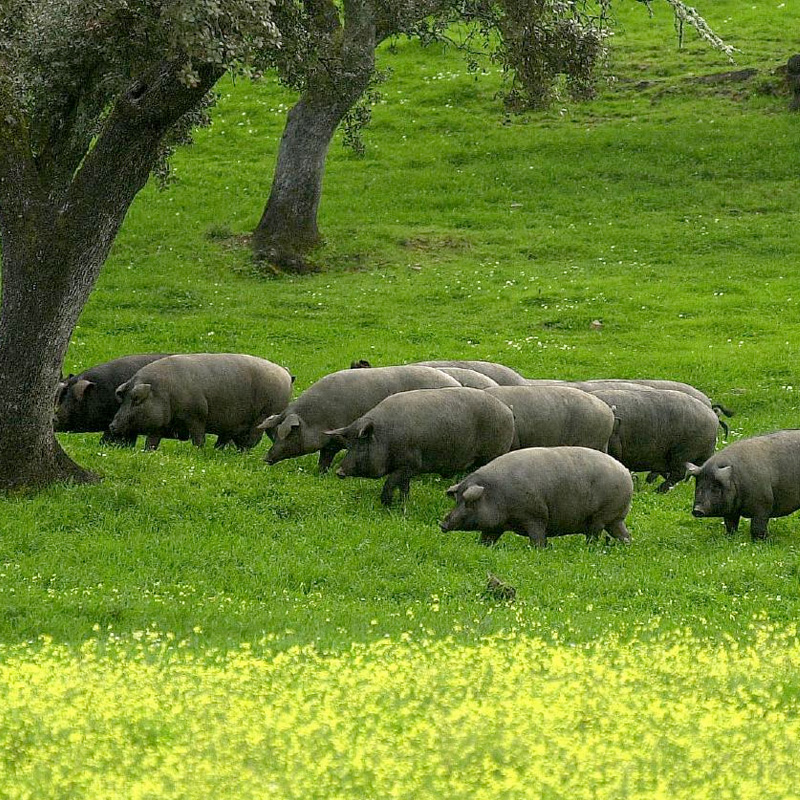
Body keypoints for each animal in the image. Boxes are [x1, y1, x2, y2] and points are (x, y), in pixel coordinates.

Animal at [108, 352, 292, 446]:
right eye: (121, 397)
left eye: (136, 398)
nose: (112, 425)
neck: (164, 392)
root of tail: (285, 374)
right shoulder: (158, 425)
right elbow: (151, 443)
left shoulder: (196, 416)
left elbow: (198, 439)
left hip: (264, 415)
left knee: (252, 440)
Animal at [260, 366, 460, 472]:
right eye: (275, 434)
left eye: (289, 433)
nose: (266, 458)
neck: (318, 419)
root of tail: (455, 382)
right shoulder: (330, 443)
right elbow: (324, 459)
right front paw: (320, 474)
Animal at [328, 388, 516, 506]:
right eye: (349, 445)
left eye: (361, 446)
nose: (339, 472)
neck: (386, 438)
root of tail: (507, 410)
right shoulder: (405, 470)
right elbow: (404, 487)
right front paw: (403, 505)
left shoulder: (410, 464)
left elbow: (390, 483)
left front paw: (386, 504)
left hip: (492, 454)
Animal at [440, 446, 636, 548]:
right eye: (457, 500)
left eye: (468, 502)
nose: (442, 524)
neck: (496, 494)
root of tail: (625, 471)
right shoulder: (494, 527)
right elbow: (487, 538)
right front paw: (482, 547)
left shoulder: (535, 517)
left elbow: (538, 538)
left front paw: (540, 549)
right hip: (614, 518)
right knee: (623, 534)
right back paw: (626, 546)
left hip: (600, 516)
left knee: (594, 534)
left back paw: (588, 548)